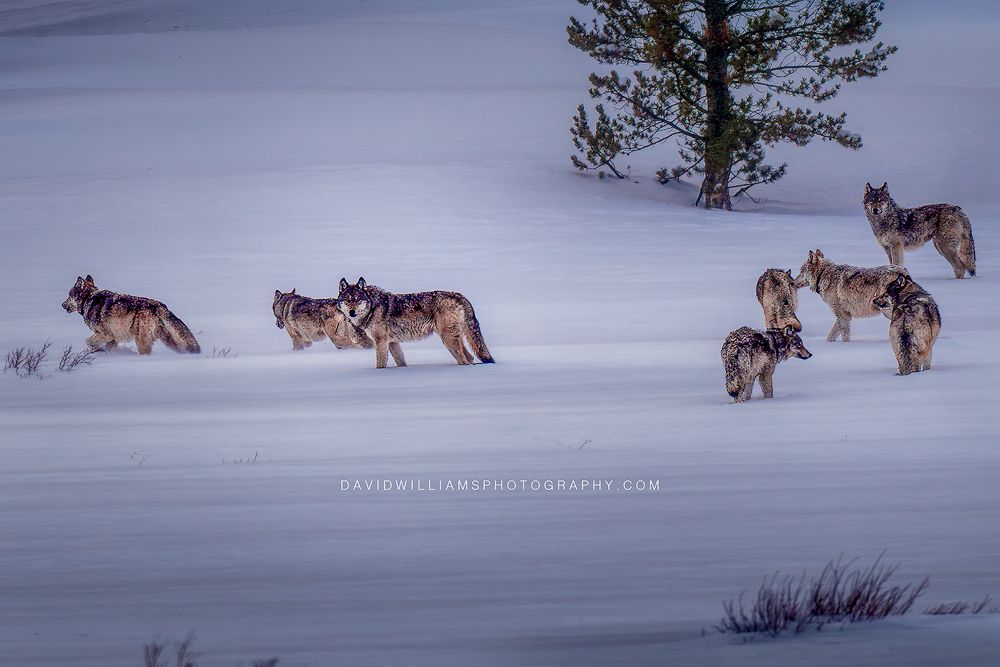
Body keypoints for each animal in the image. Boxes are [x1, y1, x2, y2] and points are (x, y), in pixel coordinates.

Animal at [61, 275, 200, 354]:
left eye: (69, 296)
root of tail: (159, 305)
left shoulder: (106, 335)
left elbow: (88, 341)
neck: (89, 300)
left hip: (141, 341)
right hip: (166, 339)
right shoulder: (112, 339)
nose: (62, 305)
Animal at [336, 277, 494, 368]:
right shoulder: (392, 342)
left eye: (357, 300)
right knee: (470, 357)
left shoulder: (381, 342)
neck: (373, 307)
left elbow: (380, 365)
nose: (352, 312)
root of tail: (460, 296)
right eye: (348, 300)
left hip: (448, 340)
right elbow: (401, 361)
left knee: (464, 360)